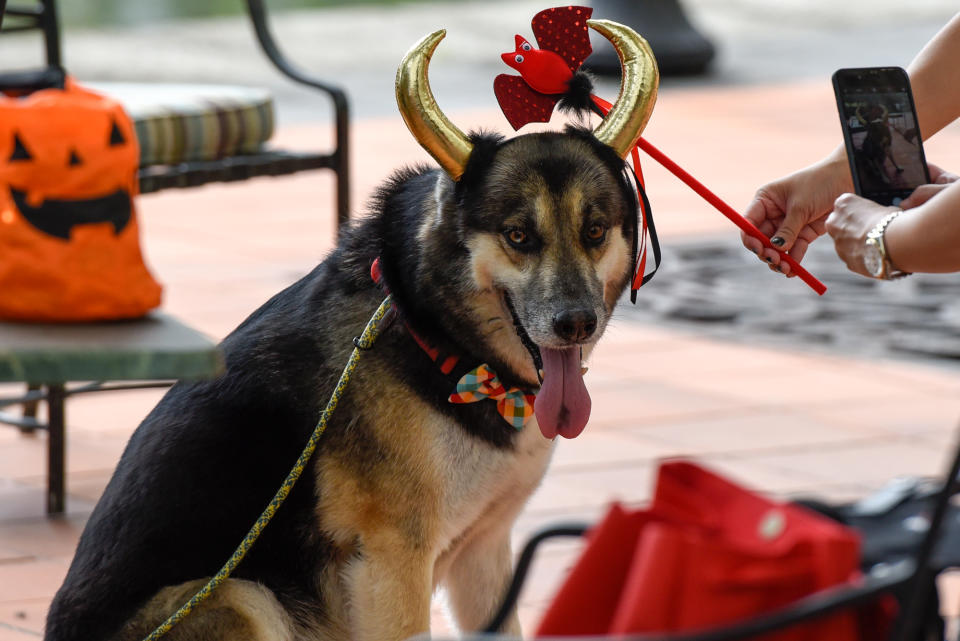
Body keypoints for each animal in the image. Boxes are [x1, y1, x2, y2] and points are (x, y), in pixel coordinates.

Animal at [45, 20, 660, 640]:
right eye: (518, 236)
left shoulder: (484, 556)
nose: (576, 323)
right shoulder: (393, 565)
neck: (443, 345)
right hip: (242, 598)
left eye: (595, 230)